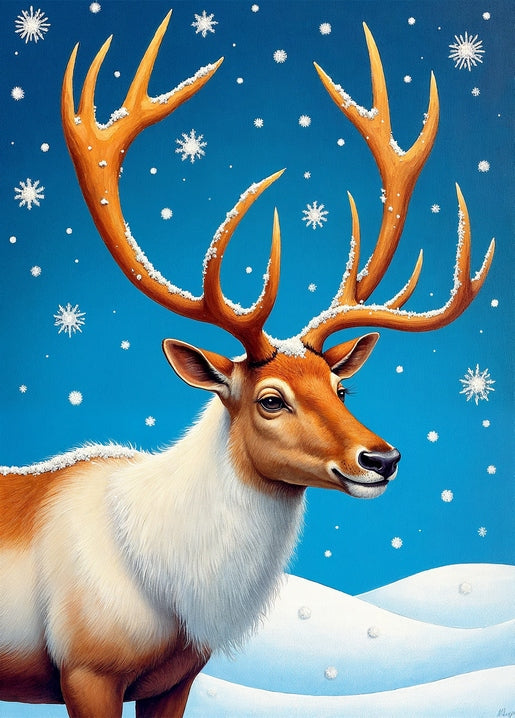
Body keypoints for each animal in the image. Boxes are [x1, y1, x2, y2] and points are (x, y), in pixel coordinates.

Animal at [0, 11, 494, 718]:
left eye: (342, 387)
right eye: (271, 398)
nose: (382, 458)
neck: (168, 586)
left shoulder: (175, 678)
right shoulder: (85, 667)